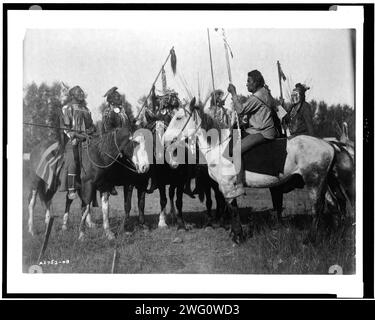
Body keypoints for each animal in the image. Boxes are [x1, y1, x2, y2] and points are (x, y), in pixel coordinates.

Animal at [163, 97, 342, 242]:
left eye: (178, 117)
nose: (164, 139)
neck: (218, 145)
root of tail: (329, 145)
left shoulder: (228, 185)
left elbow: (232, 208)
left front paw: (238, 236)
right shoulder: (223, 186)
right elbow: (228, 206)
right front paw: (234, 233)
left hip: (314, 182)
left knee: (317, 207)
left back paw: (310, 238)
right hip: (323, 183)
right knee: (333, 204)